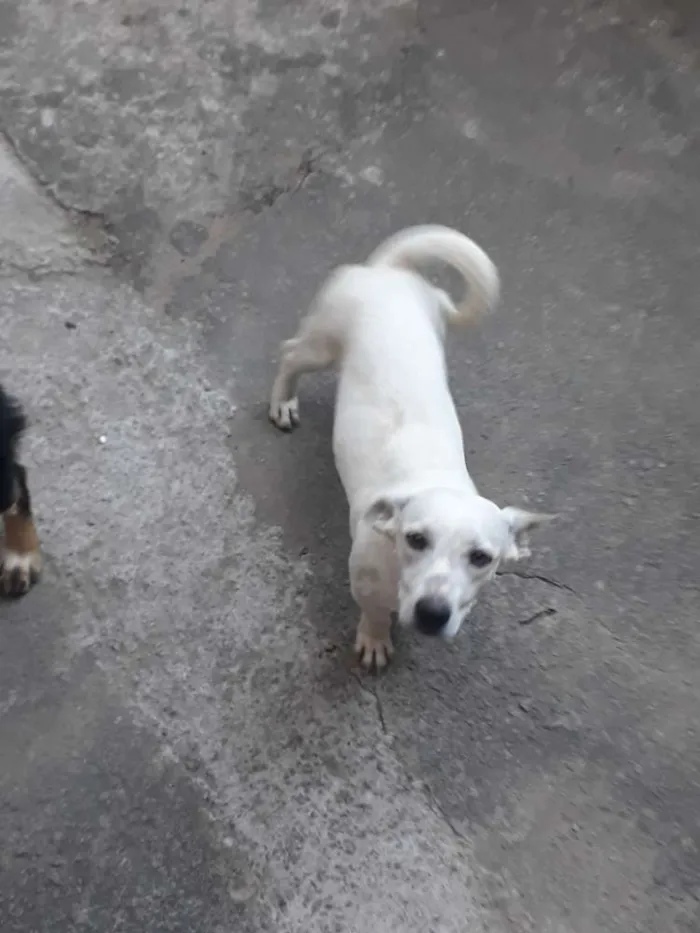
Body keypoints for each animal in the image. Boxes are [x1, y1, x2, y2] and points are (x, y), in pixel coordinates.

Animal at [268, 229, 552, 672]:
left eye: (481, 558)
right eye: (416, 539)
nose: (432, 614)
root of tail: (388, 270)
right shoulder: (365, 581)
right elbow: (373, 613)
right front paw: (375, 639)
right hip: (322, 344)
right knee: (291, 353)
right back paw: (282, 401)